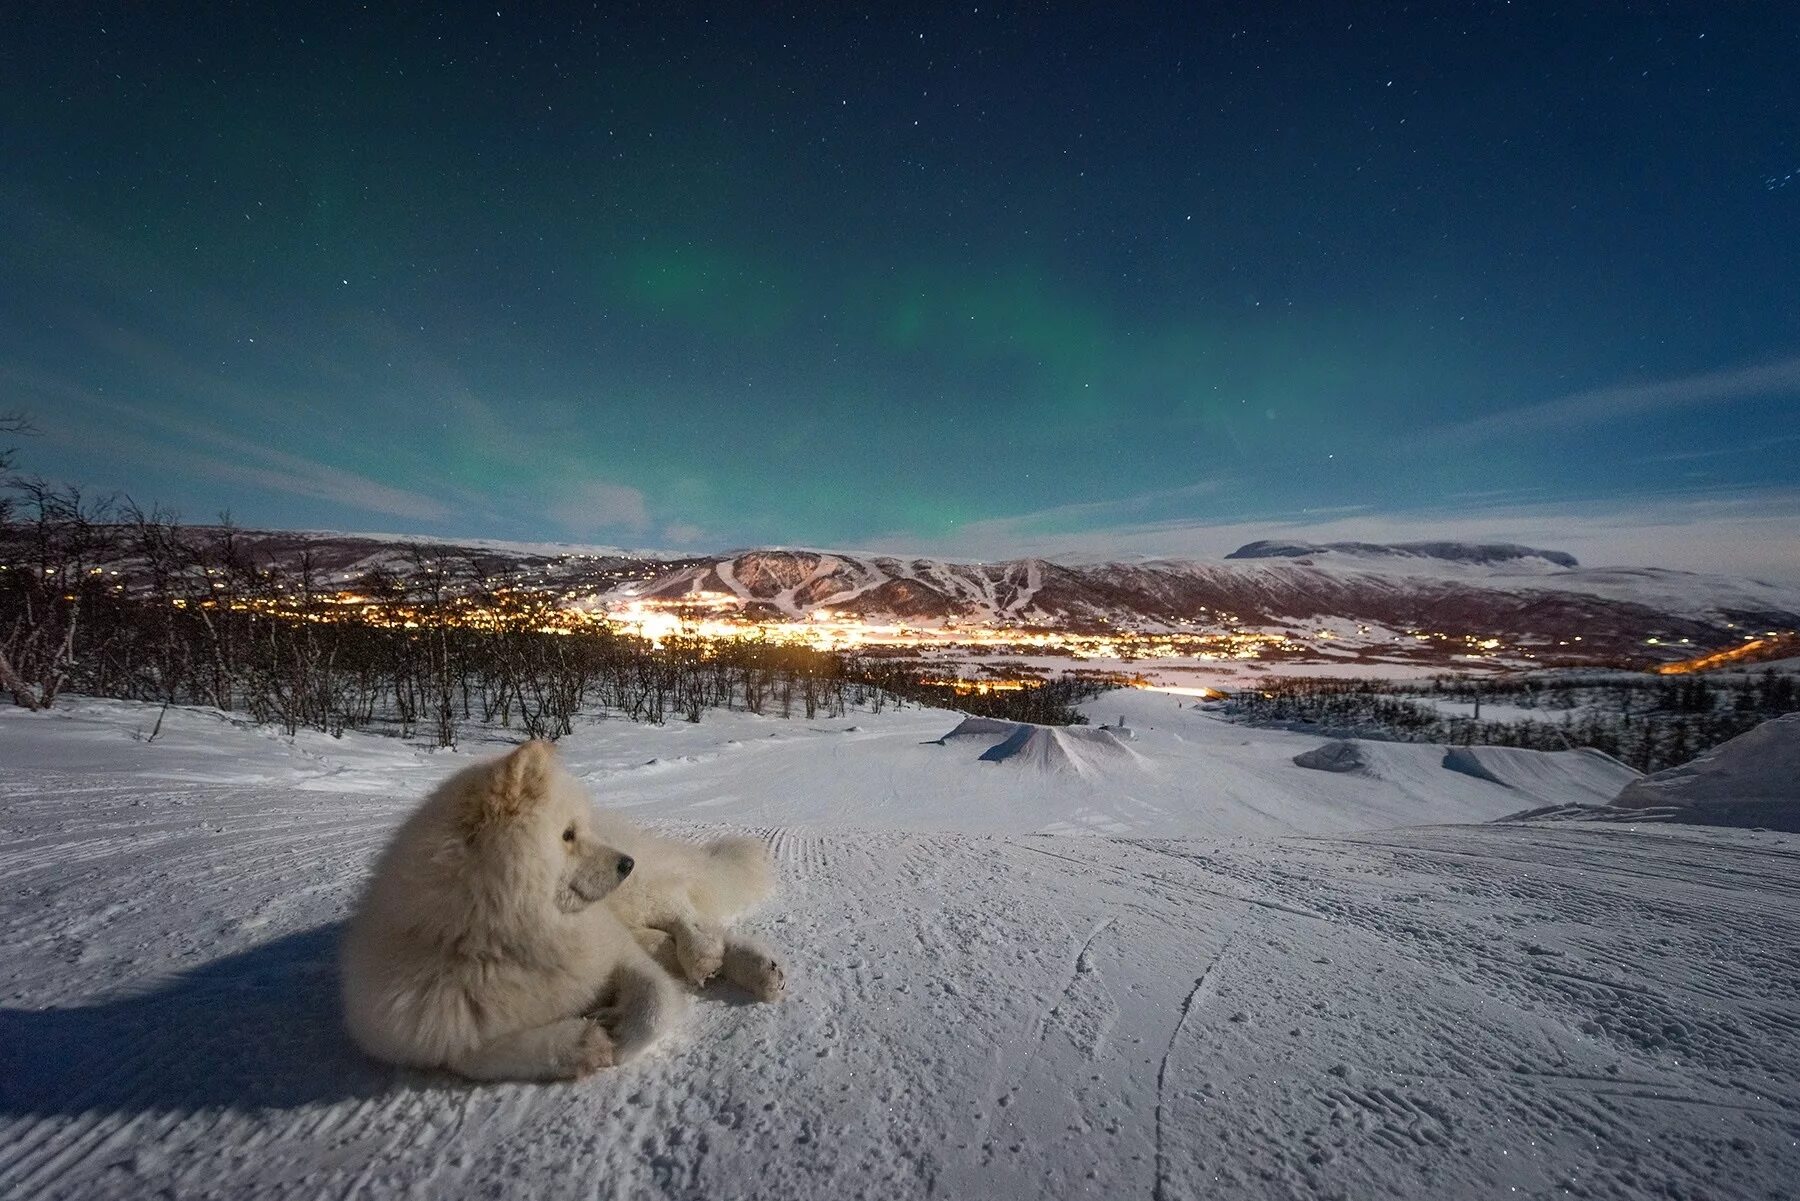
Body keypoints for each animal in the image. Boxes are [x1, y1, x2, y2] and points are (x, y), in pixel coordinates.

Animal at [343, 741, 781, 1080]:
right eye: (568, 835)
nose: (627, 864)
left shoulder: (615, 951)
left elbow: (653, 1004)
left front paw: (621, 1032)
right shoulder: (428, 1032)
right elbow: (488, 1056)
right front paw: (583, 1044)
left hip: (636, 897)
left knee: (684, 913)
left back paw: (708, 955)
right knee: (681, 935)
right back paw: (752, 968)